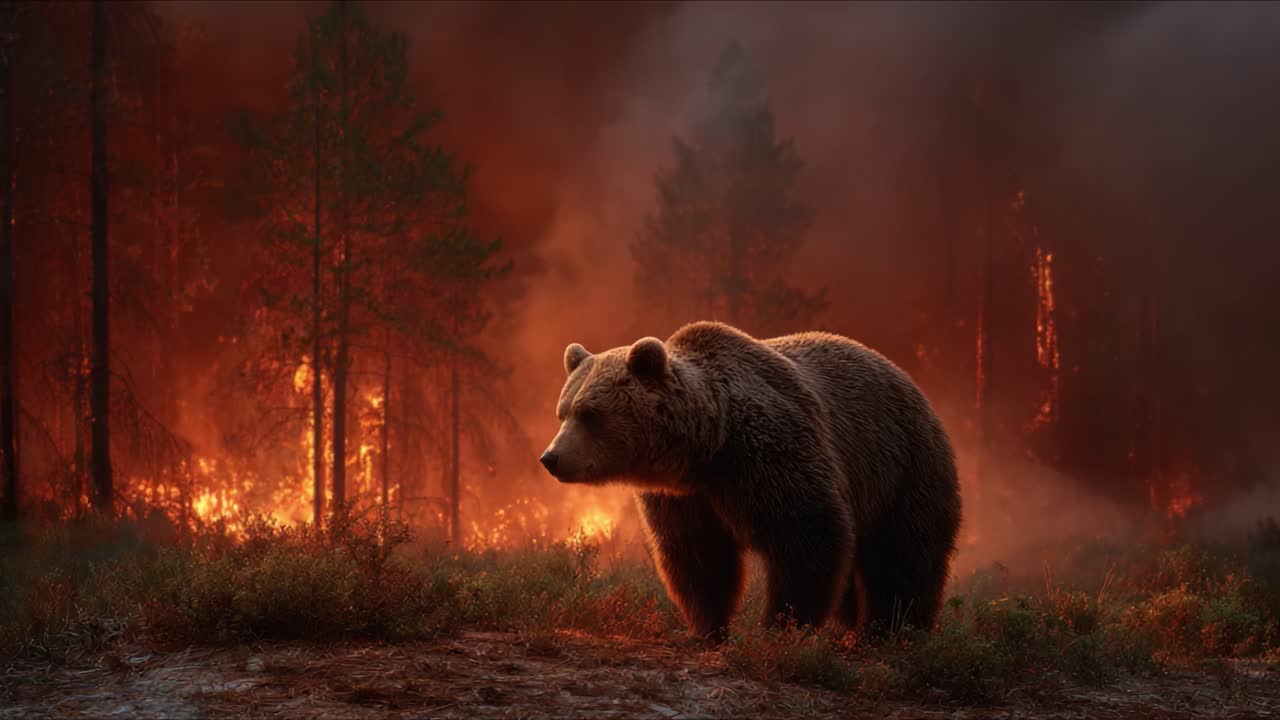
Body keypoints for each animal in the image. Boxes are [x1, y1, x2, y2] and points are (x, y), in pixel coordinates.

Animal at [539, 321, 962, 642]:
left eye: (590, 414)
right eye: (563, 411)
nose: (551, 458)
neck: (708, 446)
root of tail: (906, 378)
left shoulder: (768, 455)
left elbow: (807, 533)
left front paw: (780, 626)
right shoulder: (685, 497)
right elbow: (697, 556)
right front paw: (707, 628)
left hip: (902, 468)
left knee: (904, 555)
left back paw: (892, 631)